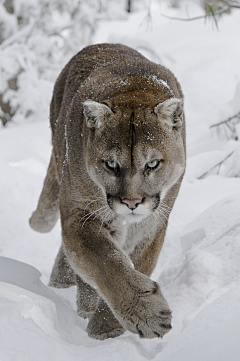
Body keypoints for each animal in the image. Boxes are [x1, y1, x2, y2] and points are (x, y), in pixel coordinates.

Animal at [29, 43, 185, 338]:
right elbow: (106, 262)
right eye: (111, 164)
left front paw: (105, 328)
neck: (135, 89)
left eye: (152, 164)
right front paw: (143, 316)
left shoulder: (151, 225)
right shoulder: (81, 215)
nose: (132, 202)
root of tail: (98, 45)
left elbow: (136, 264)